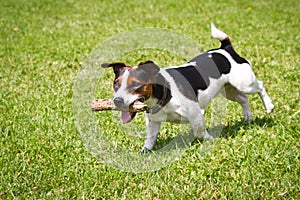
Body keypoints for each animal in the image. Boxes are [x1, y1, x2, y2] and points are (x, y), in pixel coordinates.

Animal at [101, 23, 274, 152]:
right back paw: (248, 117)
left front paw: (209, 140)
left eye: (136, 84)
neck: (164, 94)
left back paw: (269, 106)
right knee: (243, 99)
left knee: (260, 86)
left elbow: (200, 132)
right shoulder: (153, 122)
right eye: (116, 83)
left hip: (244, 83)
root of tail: (226, 49)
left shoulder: (196, 114)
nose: (117, 101)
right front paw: (145, 151)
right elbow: (150, 139)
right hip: (229, 90)